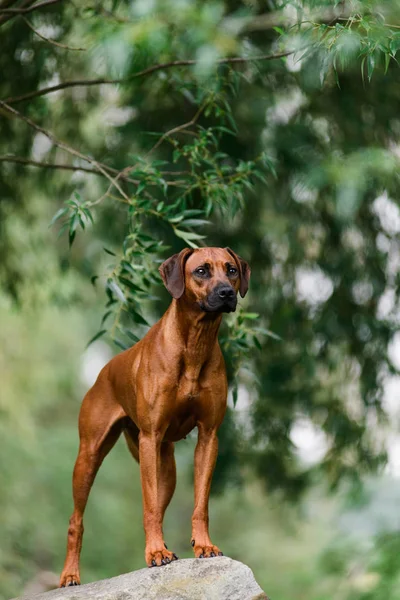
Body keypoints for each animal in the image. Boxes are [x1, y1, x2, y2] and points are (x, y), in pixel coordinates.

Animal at [58, 245, 250, 584]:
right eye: (201, 271)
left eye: (231, 270)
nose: (227, 293)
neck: (194, 343)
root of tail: (105, 371)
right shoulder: (150, 436)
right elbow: (148, 507)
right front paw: (157, 552)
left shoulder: (209, 437)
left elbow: (200, 503)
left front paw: (203, 545)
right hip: (90, 456)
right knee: (75, 520)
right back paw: (71, 574)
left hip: (166, 465)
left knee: (160, 506)